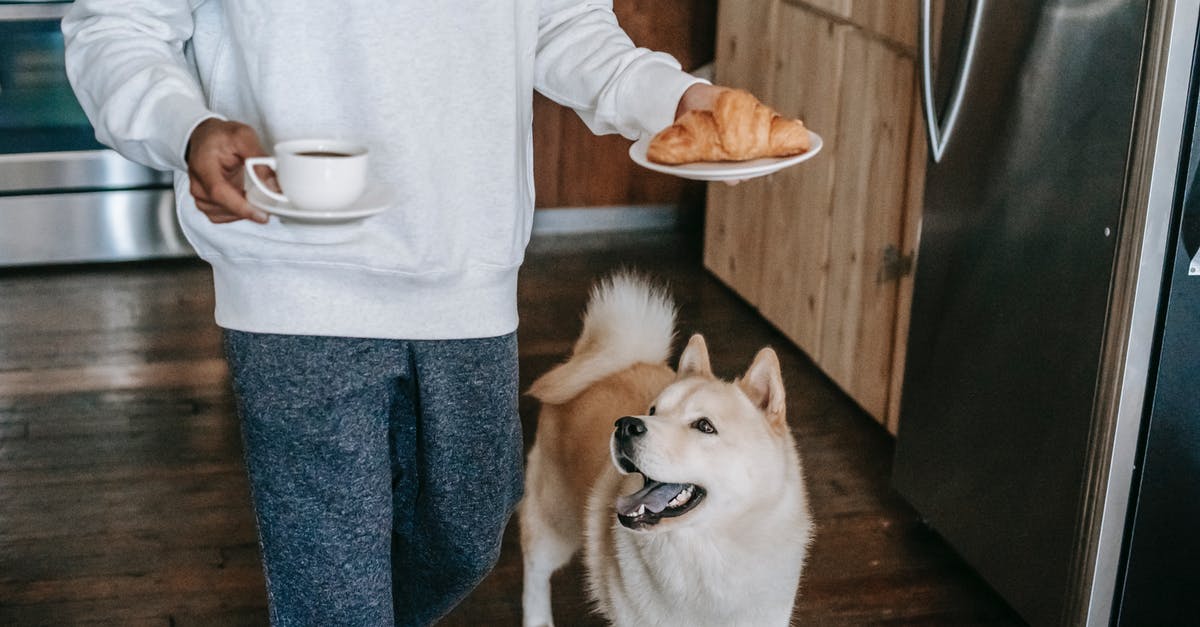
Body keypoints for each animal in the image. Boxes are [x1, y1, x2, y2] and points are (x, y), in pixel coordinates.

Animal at [518, 273, 811, 624]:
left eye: (704, 426)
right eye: (653, 410)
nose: (626, 425)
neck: (708, 552)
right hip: (555, 522)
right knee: (535, 571)